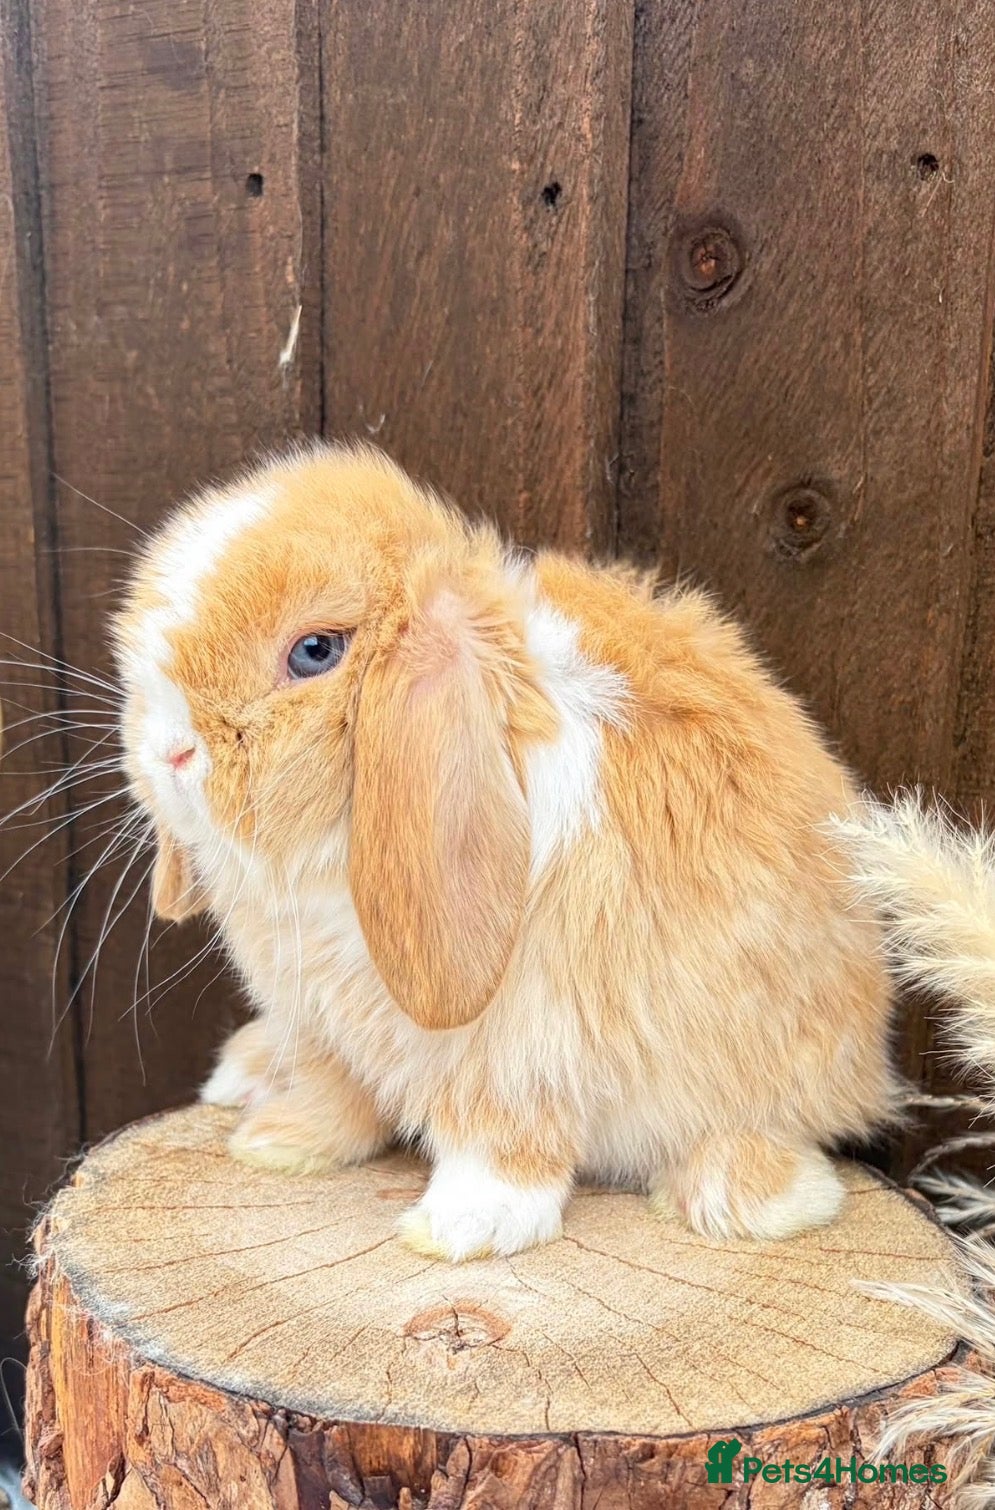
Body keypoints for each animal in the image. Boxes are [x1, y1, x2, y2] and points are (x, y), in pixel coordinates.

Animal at [113, 441, 900, 1261]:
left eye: (315, 651)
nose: (168, 752)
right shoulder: (332, 1027)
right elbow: (339, 1096)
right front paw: (278, 1142)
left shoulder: (518, 1052)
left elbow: (500, 1142)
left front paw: (460, 1230)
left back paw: (750, 1194)